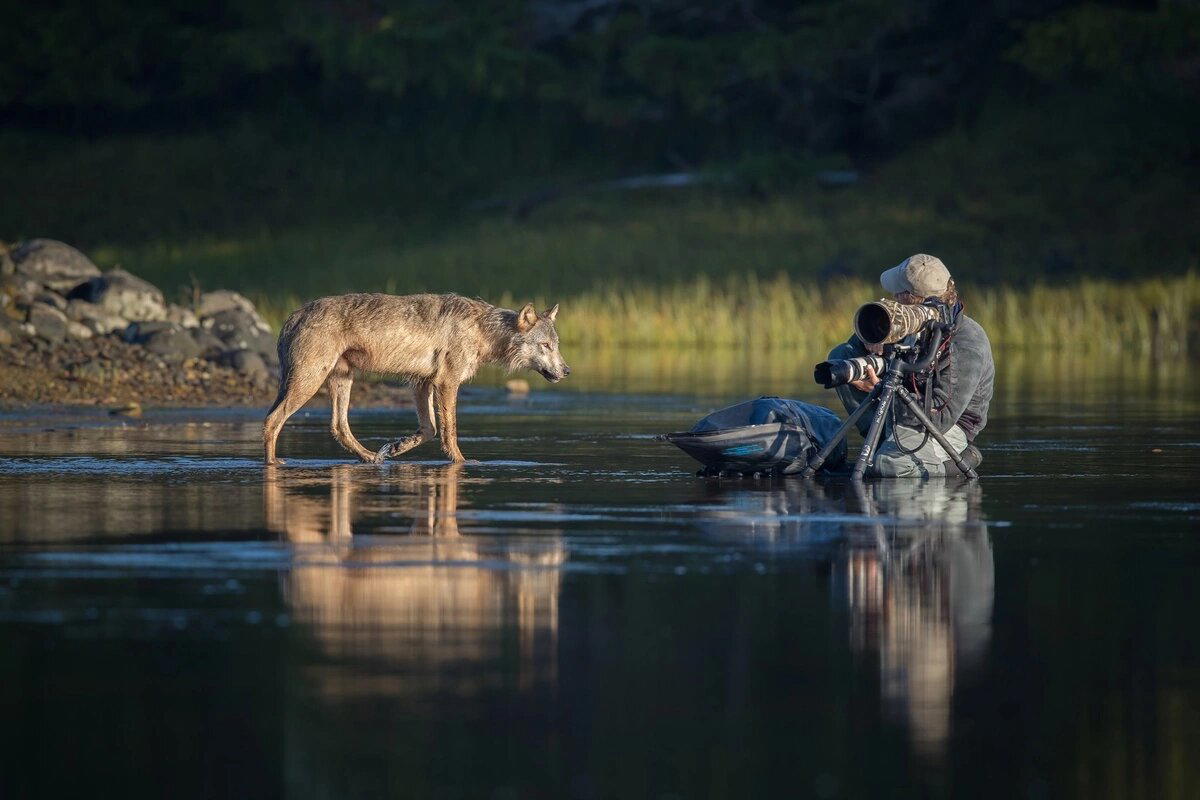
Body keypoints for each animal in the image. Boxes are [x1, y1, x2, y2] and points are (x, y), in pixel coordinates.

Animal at [266, 293, 571, 465]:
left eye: (556, 345)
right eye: (545, 346)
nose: (567, 371)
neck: (481, 331)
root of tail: (293, 315)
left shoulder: (421, 383)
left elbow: (430, 429)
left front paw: (395, 447)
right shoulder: (447, 382)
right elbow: (449, 431)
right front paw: (462, 462)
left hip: (341, 379)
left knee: (338, 427)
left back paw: (372, 458)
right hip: (310, 381)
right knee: (272, 420)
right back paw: (273, 464)